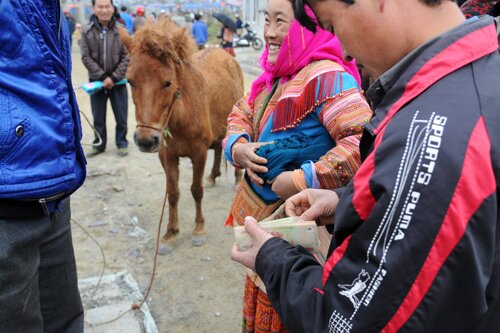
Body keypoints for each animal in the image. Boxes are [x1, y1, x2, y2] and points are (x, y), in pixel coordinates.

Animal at [117, 18, 242, 252]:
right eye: (130, 81)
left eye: (167, 82)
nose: (145, 140)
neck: (180, 117)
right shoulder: (167, 156)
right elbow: (173, 193)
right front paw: (170, 233)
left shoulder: (199, 154)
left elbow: (196, 190)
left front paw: (199, 228)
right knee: (218, 148)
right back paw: (213, 176)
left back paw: (237, 180)